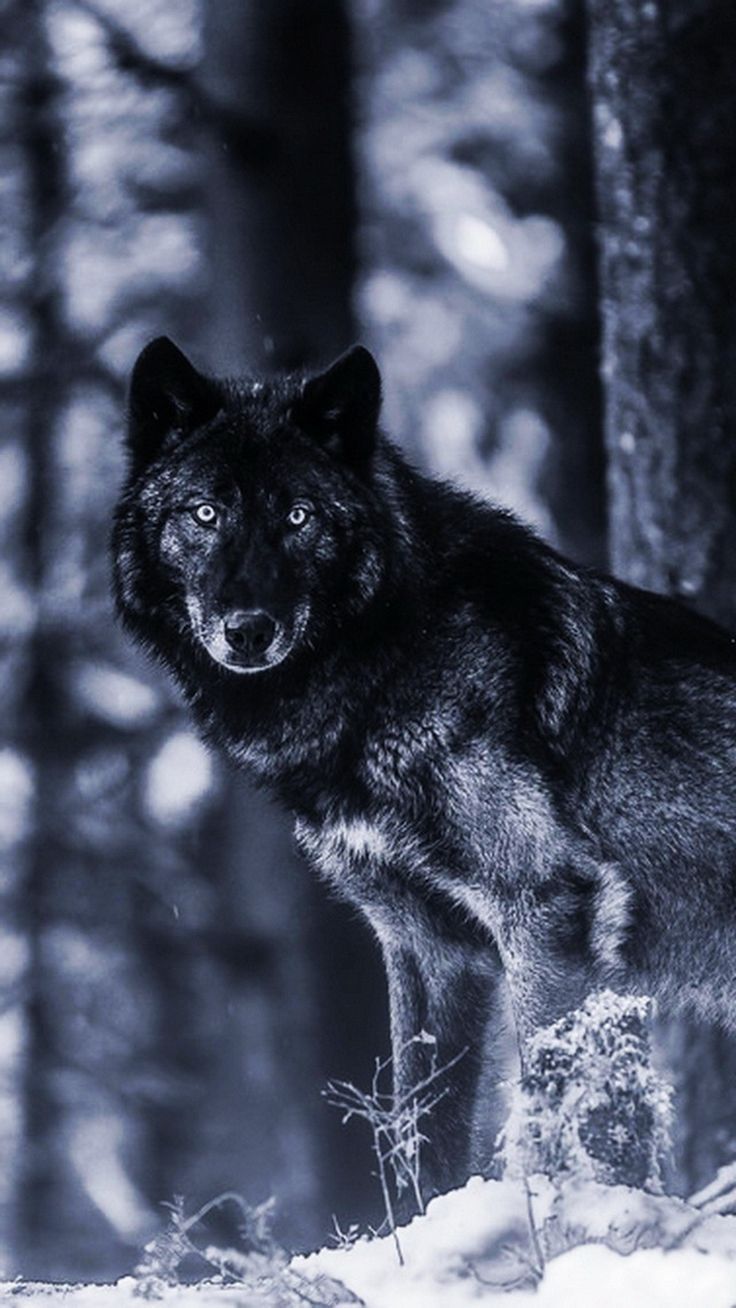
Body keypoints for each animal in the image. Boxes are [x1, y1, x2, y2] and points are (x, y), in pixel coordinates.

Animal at [112, 336, 736, 1198]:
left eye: (299, 517)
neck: (388, 654)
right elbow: (417, 1136)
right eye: (205, 513)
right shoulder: (425, 944)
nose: (248, 630)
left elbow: (564, 1105)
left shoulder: (547, 907)